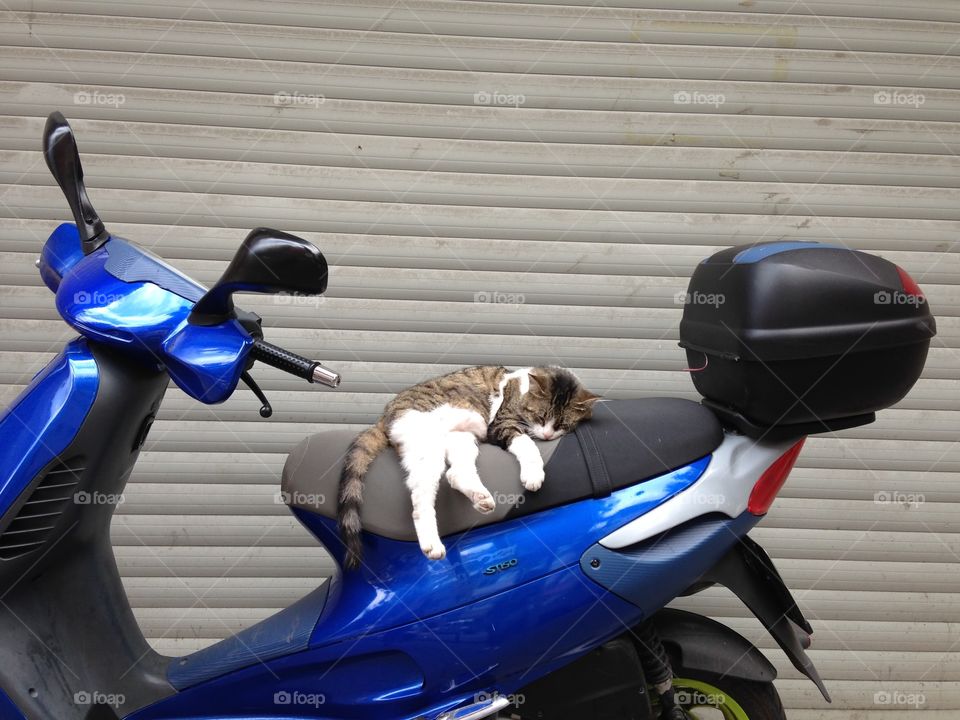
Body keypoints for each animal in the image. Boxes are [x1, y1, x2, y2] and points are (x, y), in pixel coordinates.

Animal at [334, 366, 596, 568]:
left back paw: (480, 499)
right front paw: (533, 474)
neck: (522, 387)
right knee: (421, 494)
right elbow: (527, 444)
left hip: (461, 438)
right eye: (541, 417)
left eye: (562, 424)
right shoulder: (502, 423)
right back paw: (431, 543)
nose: (548, 435)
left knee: (454, 473)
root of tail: (385, 415)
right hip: (427, 445)